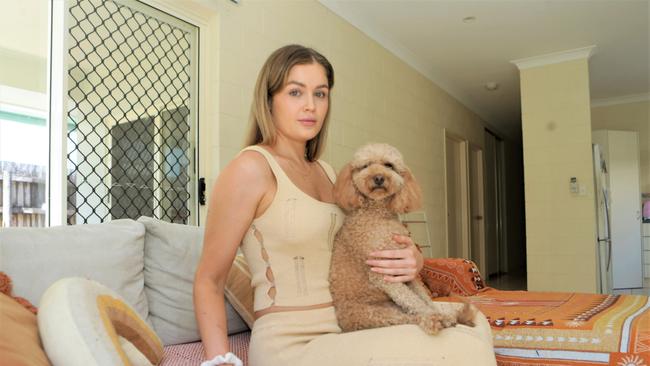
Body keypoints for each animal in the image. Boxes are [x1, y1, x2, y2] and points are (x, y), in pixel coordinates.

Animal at [330, 142, 476, 334]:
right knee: (409, 317)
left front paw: (437, 310)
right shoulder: (382, 274)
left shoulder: (406, 270)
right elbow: (413, 300)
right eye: (366, 165)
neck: (380, 215)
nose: (378, 178)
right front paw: (435, 315)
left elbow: (423, 297)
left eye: (389, 165)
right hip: (377, 315)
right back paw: (438, 319)